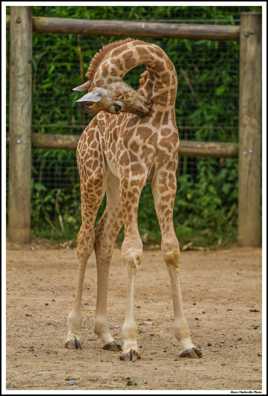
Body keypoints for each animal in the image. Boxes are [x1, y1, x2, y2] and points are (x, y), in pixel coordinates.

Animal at [66, 38, 202, 360]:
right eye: (117, 104)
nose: (143, 106)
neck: (163, 109)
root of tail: (86, 133)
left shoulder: (165, 175)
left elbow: (171, 249)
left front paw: (187, 342)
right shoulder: (135, 173)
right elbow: (132, 251)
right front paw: (130, 342)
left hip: (115, 188)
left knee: (103, 239)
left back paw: (105, 335)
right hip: (93, 177)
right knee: (84, 239)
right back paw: (73, 334)